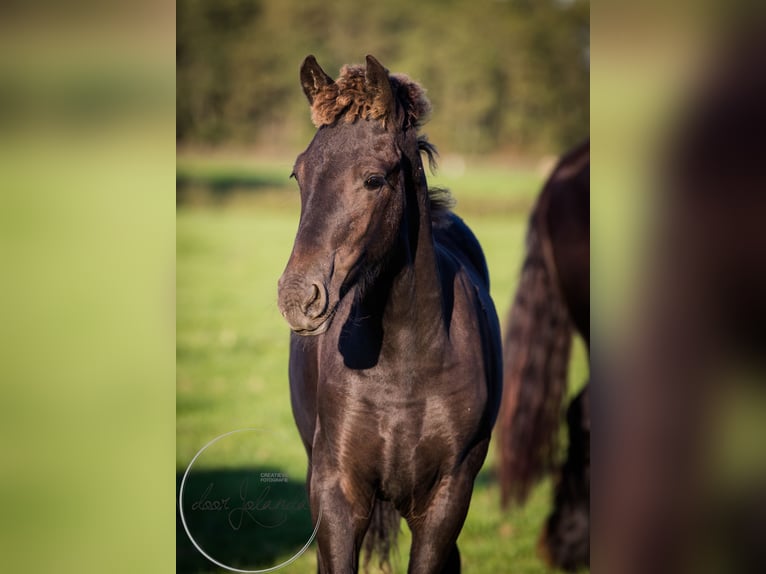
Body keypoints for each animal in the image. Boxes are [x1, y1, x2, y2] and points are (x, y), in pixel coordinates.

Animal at [277, 55, 502, 573]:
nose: (298, 297)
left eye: (374, 179)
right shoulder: (335, 491)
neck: (406, 361)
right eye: (300, 174)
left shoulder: (447, 497)